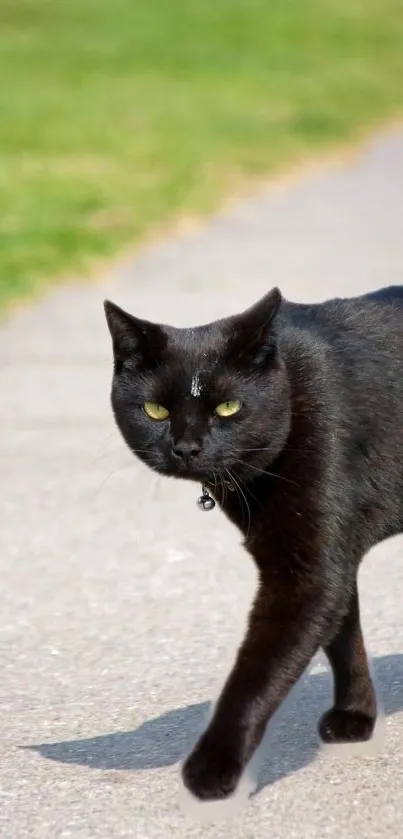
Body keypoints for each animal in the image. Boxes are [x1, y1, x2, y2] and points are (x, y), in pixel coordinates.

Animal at [103, 288, 403, 800]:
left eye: (228, 408)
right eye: (156, 411)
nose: (187, 447)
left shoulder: (307, 574)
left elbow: (258, 672)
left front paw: (211, 768)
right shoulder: (323, 555)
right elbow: (343, 634)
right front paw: (357, 716)